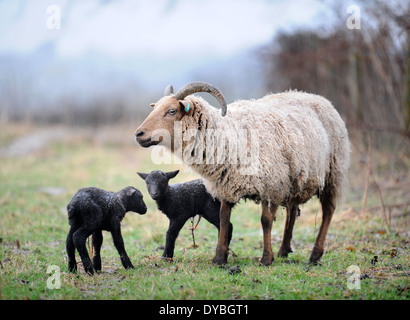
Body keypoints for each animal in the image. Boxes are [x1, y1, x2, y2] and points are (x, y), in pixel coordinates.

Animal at [135, 81, 350, 266]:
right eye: (154, 108)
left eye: (171, 111)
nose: (138, 134)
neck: (227, 136)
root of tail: (319, 98)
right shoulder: (226, 185)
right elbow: (224, 220)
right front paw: (219, 258)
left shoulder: (271, 185)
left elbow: (265, 221)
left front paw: (266, 259)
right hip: (294, 178)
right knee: (292, 209)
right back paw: (284, 250)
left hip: (333, 173)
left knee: (328, 211)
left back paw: (314, 255)